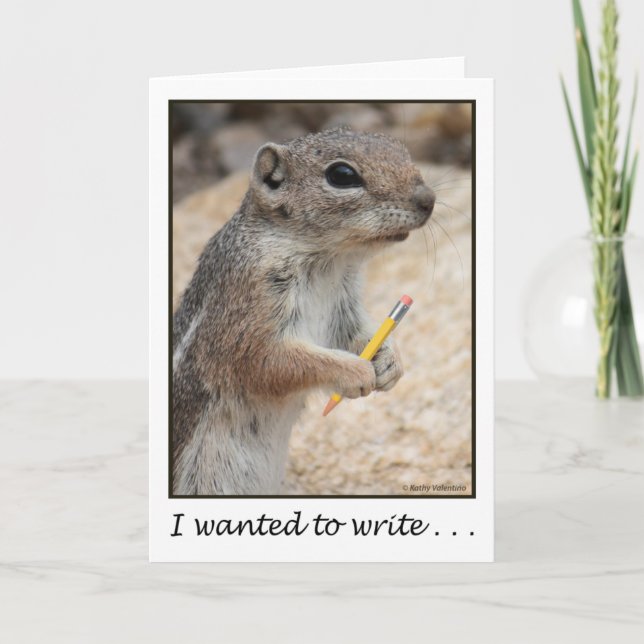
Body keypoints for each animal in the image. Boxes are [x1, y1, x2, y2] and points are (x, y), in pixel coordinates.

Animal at [172, 127, 435, 495]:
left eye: (401, 149)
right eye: (342, 175)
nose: (429, 199)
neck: (330, 262)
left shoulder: (344, 309)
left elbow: (359, 336)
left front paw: (390, 363)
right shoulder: (245, 311)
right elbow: (271, 362)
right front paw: (355, 373)